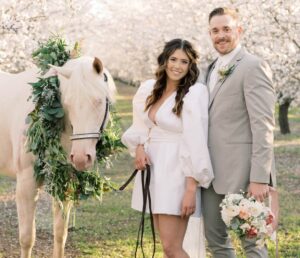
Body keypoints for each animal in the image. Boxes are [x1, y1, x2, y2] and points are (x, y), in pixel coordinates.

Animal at [0, 57, 116, 258]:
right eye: (68, 103)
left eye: (99, 101)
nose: (80, 158)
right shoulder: (26, 184)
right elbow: (27, 238)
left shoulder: (64, 182)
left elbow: (61, 233)